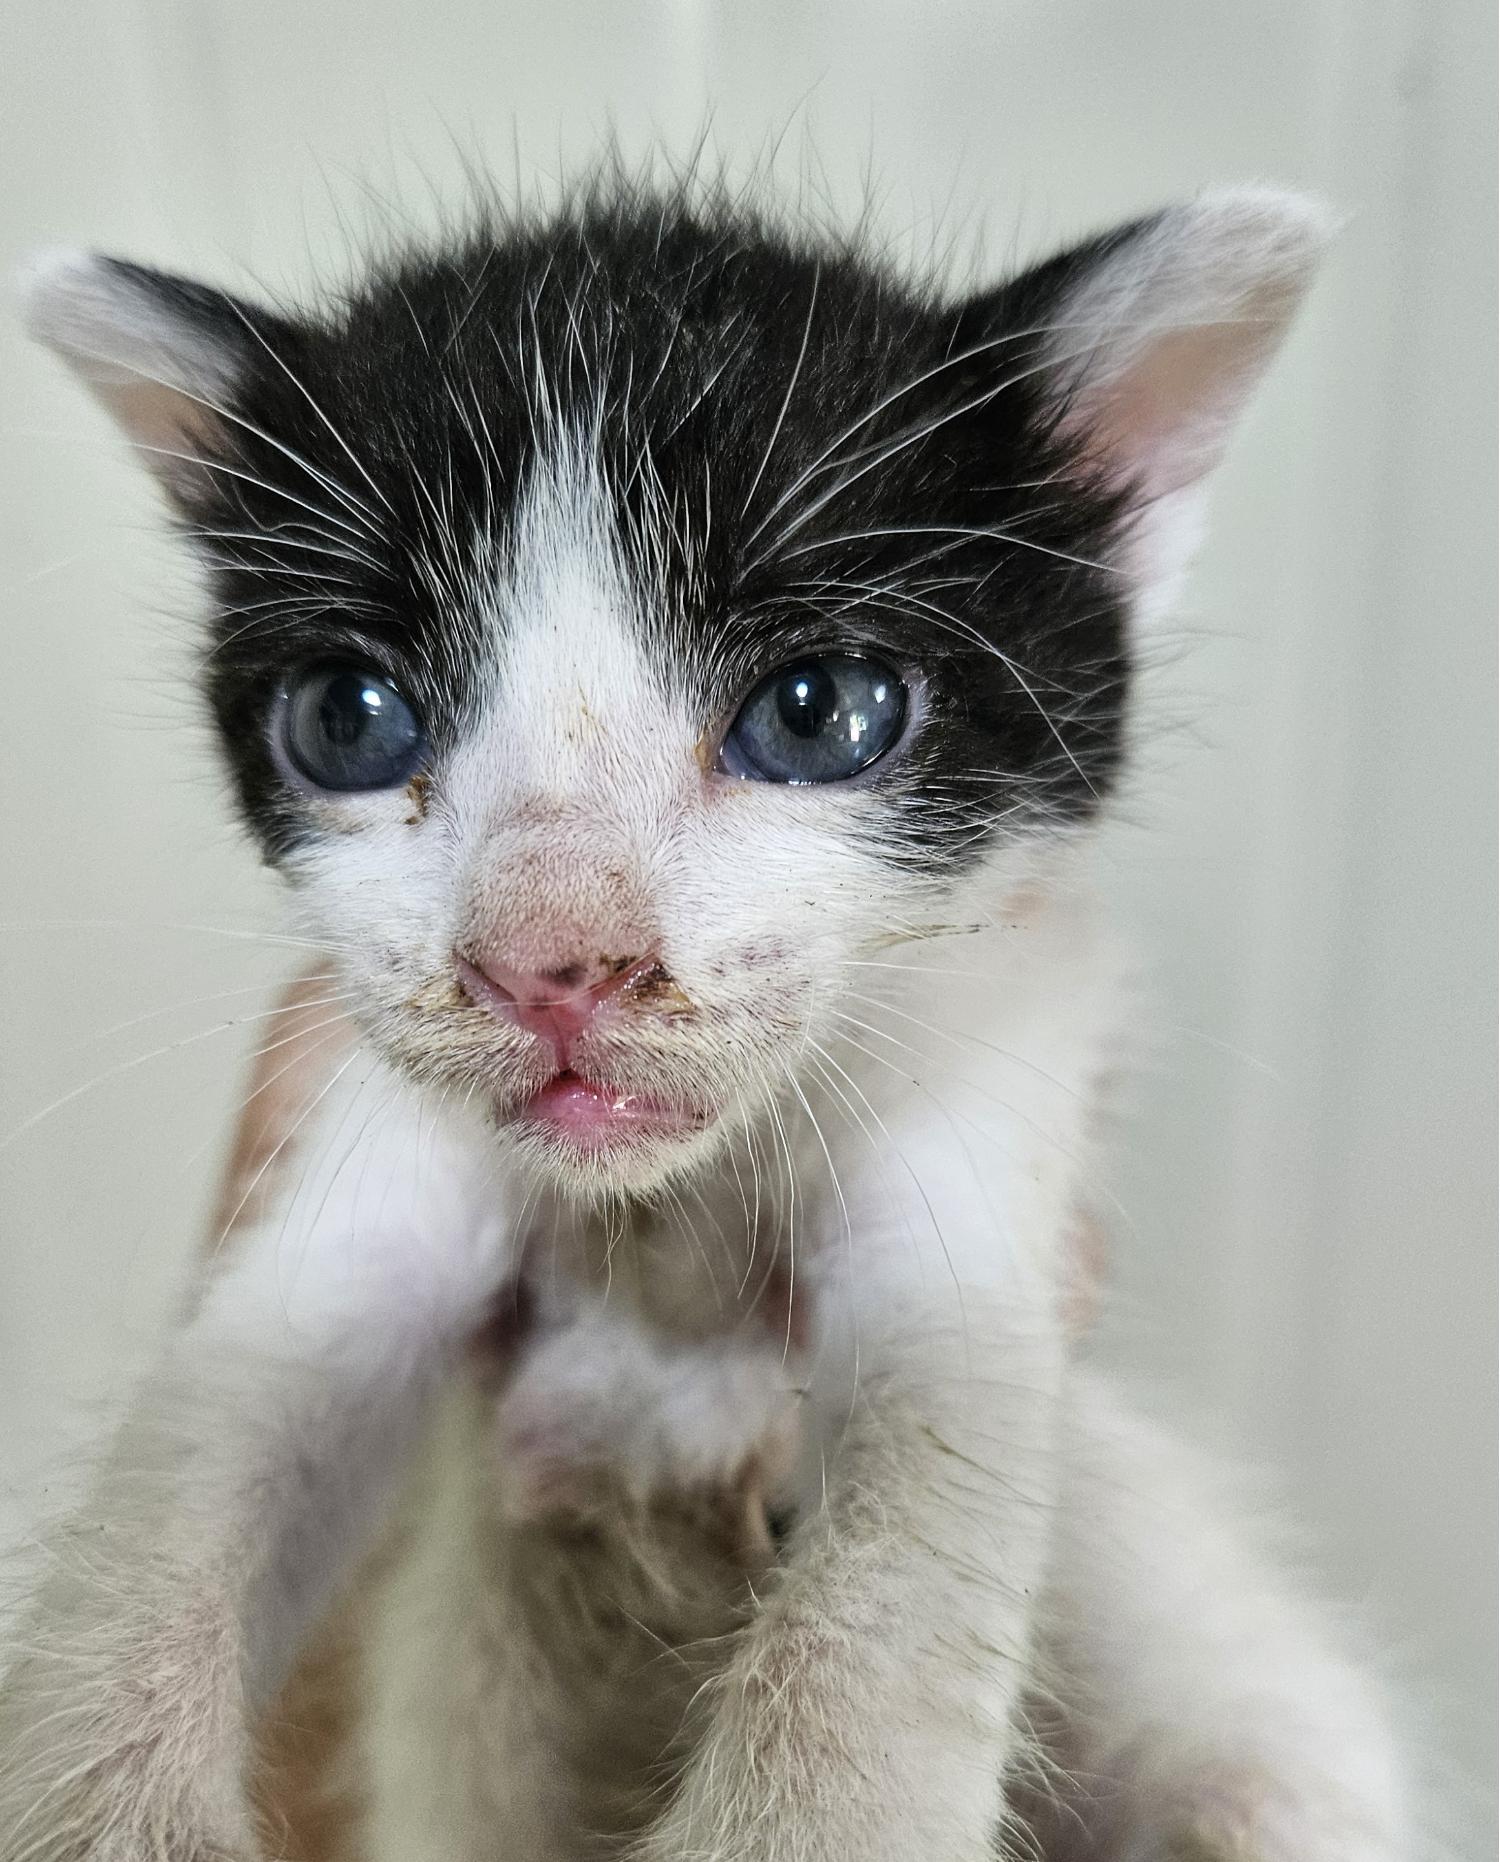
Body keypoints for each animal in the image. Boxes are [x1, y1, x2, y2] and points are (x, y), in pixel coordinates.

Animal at [0, 177, 1406, 1862]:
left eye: (819, 713)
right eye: (350, 719)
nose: (548, 960)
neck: (674, 1223)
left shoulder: (998, 1087)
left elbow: (915, 1534)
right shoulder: (367, 1145)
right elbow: (214, 1436)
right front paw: (114, 1798)